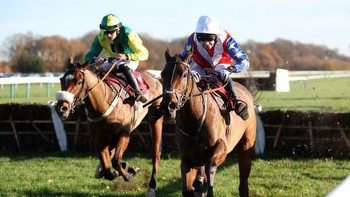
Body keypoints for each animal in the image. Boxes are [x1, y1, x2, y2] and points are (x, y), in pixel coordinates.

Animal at [55, 57, 163, 196]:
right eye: (61, 80)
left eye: (78, 82)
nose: (62, 108)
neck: (102, 105)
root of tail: (153, 77)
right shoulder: (99, 141)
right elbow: (107, 171)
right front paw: (124, 168)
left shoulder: (124, 134)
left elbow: (116, 161)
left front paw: (128, 172)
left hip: (156, 118)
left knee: (155, 154)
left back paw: (151, 187)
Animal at [160, 49, 256, 197]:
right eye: (162, 74)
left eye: (184, 74)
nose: (168, 106)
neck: (194, 122)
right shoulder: (187, 158)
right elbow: (187, 190)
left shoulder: (221, 149)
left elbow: (209, 168)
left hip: (246, 147)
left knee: (243, 183)